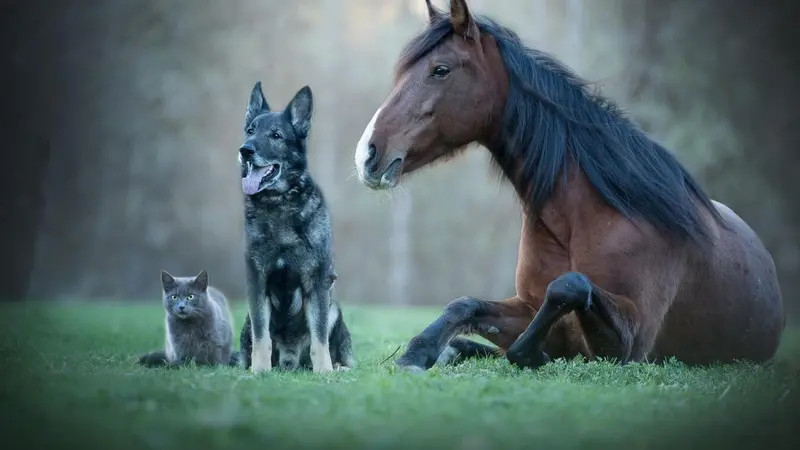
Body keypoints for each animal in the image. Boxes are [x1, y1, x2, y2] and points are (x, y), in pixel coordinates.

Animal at [234, 82, 354, 374]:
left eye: (276, 135)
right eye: (250, 130)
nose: (245, 150)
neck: (278, 204)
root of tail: (290, 361)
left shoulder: (318, 283)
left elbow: (319, 337)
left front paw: (325, 372)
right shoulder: (258, 283)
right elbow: (261, 336)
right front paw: (259, 370)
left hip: (333, 308)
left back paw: (337, 367)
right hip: (247, 318)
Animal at [350, 0, 780, 372]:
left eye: (441, 69)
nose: (367, 154)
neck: (586, 215)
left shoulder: (631, 341)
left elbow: (568, 286)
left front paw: (532, 354)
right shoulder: (526, 307)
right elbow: (464, 305)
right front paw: (417, 353)